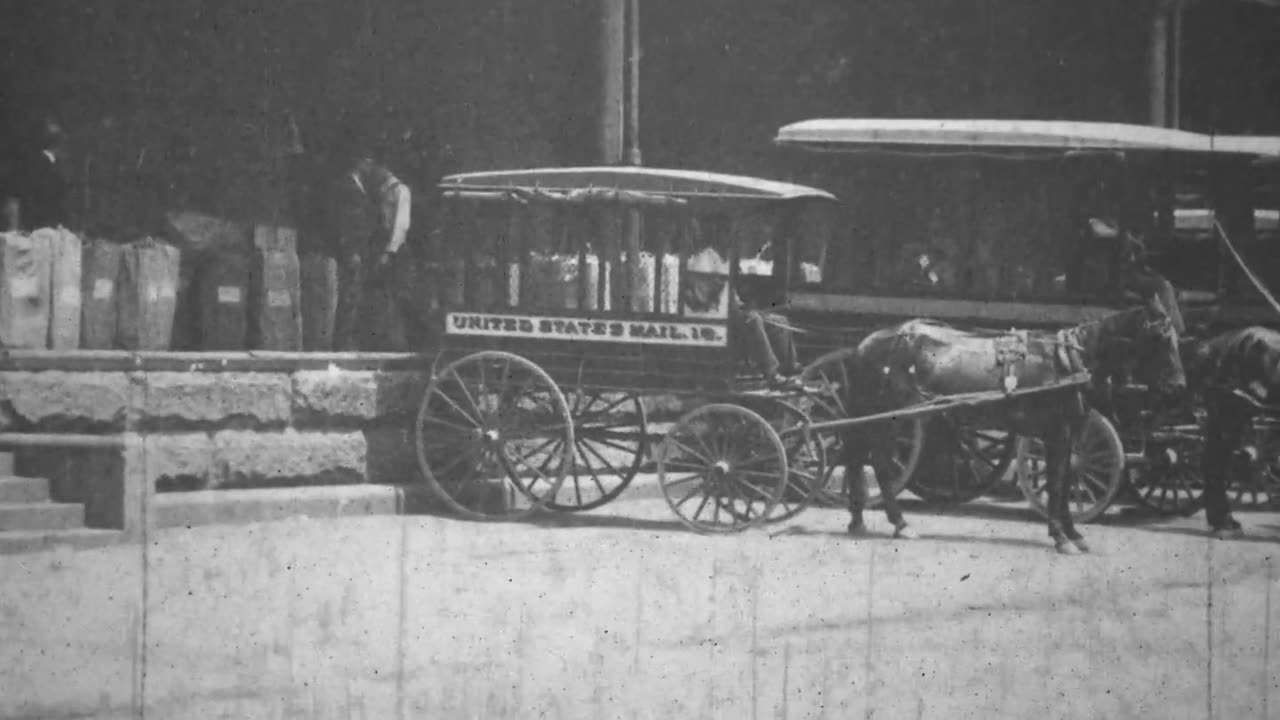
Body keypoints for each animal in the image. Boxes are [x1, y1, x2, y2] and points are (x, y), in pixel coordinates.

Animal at [839, 286, 1187, 556]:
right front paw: (1061, 536)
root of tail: (865, 344)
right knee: (877, 463)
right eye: (1160, 336)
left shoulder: (1070, 434)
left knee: (862, 457)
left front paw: (1073, 533)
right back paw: (898, 522)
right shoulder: (1057, 433)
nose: (1179, 386)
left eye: (1175, 337)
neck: (1069, 361)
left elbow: (1066, 481)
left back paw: (861, 520)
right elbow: (1058, 482)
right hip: (889, 417)